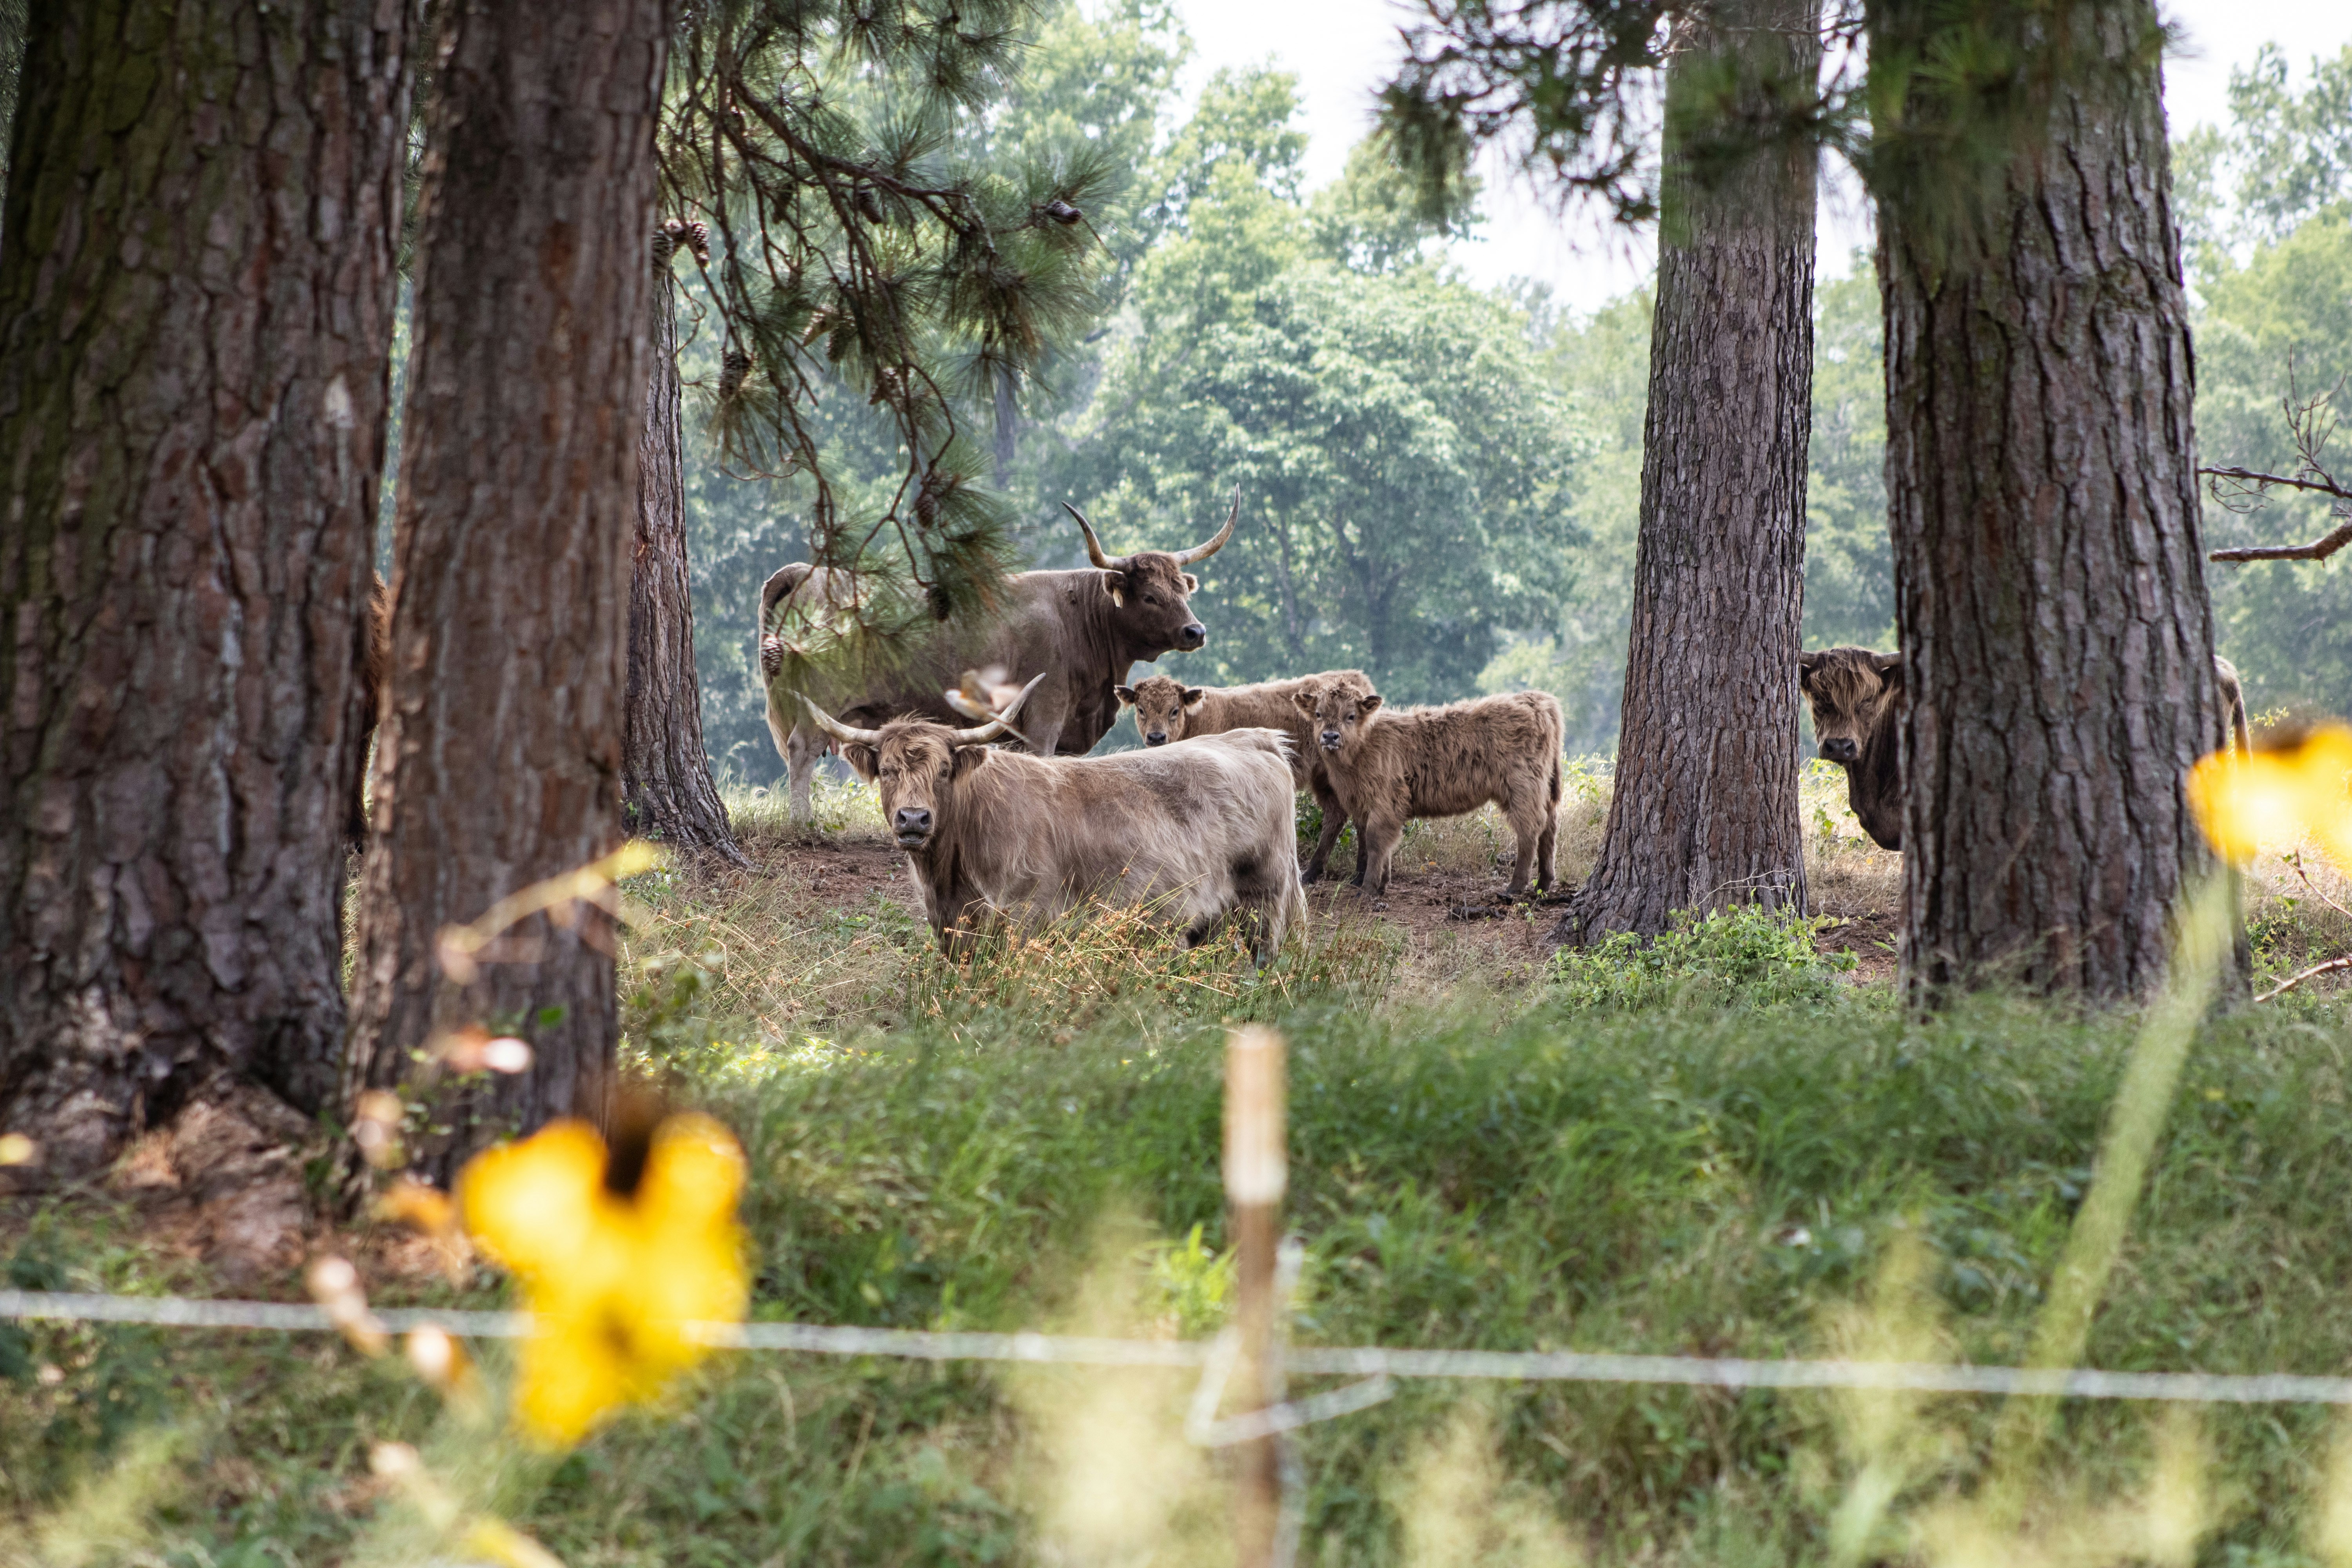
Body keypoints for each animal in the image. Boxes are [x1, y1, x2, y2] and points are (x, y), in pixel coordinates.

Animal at [760, 499, 1235, 821]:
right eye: (1151, 596)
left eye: (1183, 589)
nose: (1196, 632)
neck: (1077, 618)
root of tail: (808, 572)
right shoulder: (1044, 715)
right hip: (818, 703)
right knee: (801, 751)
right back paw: (802, 822)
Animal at [800, 678, 1307, 962]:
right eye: (887, 770)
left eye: (944, 770)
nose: (914, 818)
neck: (951, 874)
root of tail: (1253, 738)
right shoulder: (951, 929)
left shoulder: (1028, 919)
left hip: (1264, 900)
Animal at [1116, 670, 1368, 883]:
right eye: (1141, 710)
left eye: (1174, 710)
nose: (1156, 737)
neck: (1196, 720)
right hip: (1324, 780)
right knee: (1337, 814)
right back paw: (1317, 873)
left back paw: (1355, 876)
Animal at [1292, 673, 1564, 898]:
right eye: (1318, 714)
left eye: (1351, 716)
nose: (1330, 737)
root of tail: (1536, 699)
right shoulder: (1364, 804)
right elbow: (1378, 844)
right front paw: (1381, 884)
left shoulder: (1384, 802)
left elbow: (1376, 842)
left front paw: (1368, 889)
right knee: (1549, 824)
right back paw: (1543, 884)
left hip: (1522, 787)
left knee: (1530, 828)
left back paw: (1515, 887)